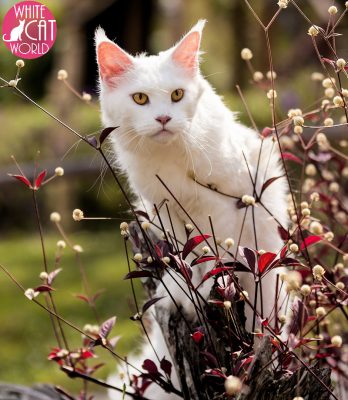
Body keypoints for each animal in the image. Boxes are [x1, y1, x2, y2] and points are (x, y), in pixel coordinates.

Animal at [95, 20, 288, 398]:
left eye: (177, 95)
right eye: (140, 98)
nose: (164, 118)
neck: (168, 157)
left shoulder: (225, 206)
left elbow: (215, 254)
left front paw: (211, 288)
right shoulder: (163, 208)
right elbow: (185, 255)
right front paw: (185, 290)